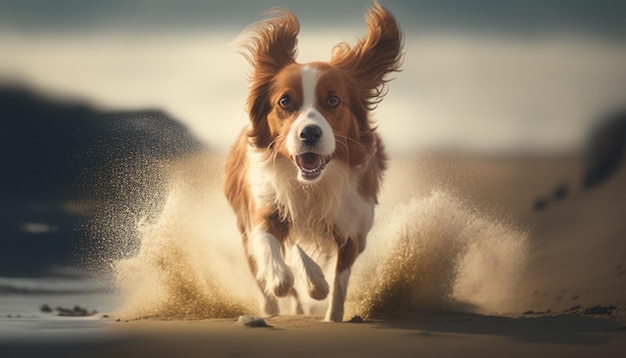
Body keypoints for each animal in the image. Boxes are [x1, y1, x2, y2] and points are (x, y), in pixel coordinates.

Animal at [224, 1, 400, 322]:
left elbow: (339, 282)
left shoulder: (354, 229)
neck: (312, 183)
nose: (309, 133)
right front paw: (287, 280)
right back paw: (275, 305)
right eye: (284, 101)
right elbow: (274, 250)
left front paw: (332, 314)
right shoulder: (264, 209)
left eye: (333, 101)